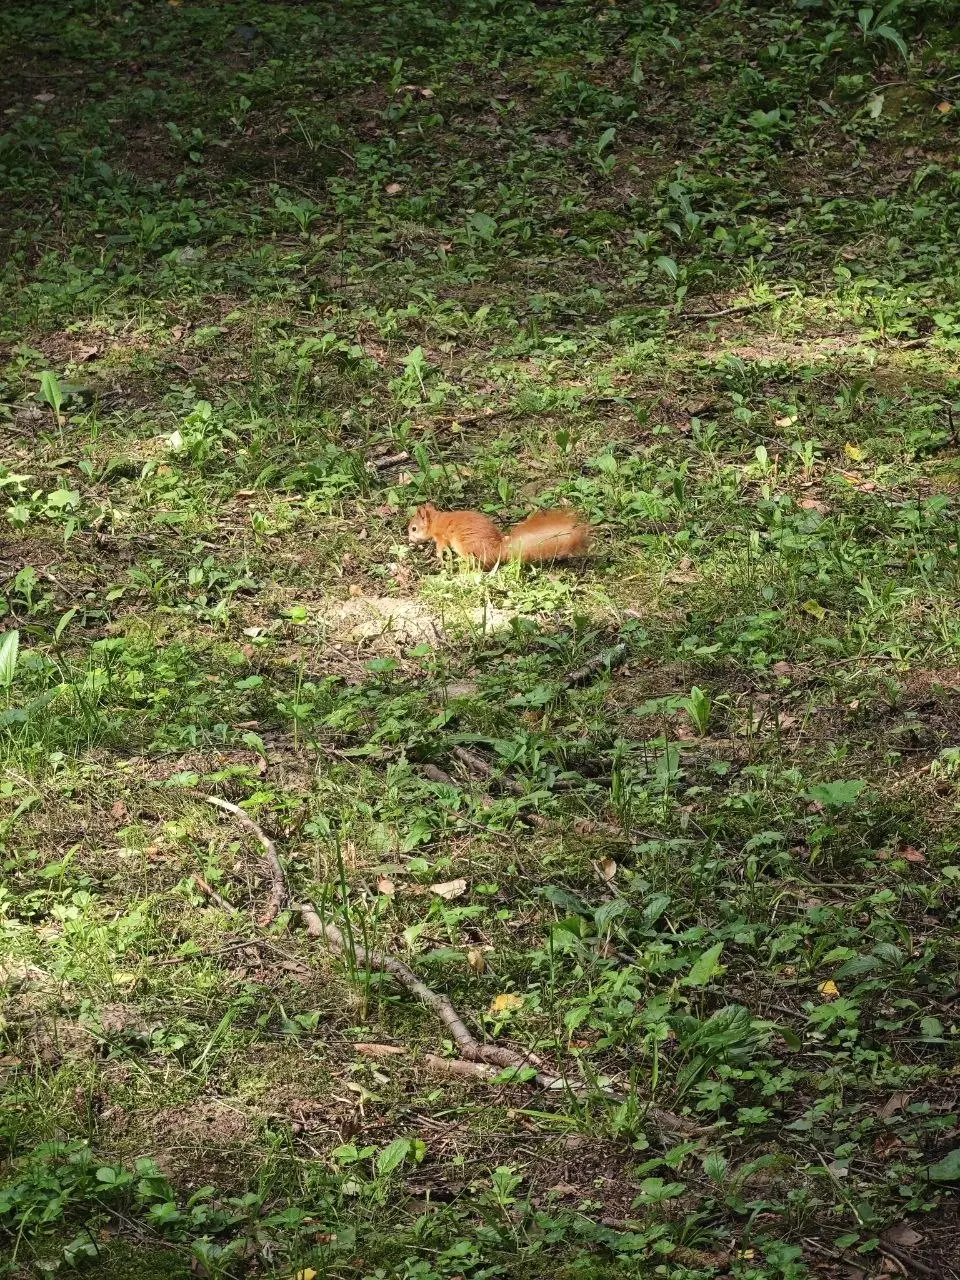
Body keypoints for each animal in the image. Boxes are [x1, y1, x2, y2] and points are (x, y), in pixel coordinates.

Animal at [407, 502, 590, 569]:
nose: (410, 540)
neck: (436, 520)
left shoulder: (441, 536)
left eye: (414, 529)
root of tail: (498, 550)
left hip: (464, 546)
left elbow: (440, 548)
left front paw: (438, 558)